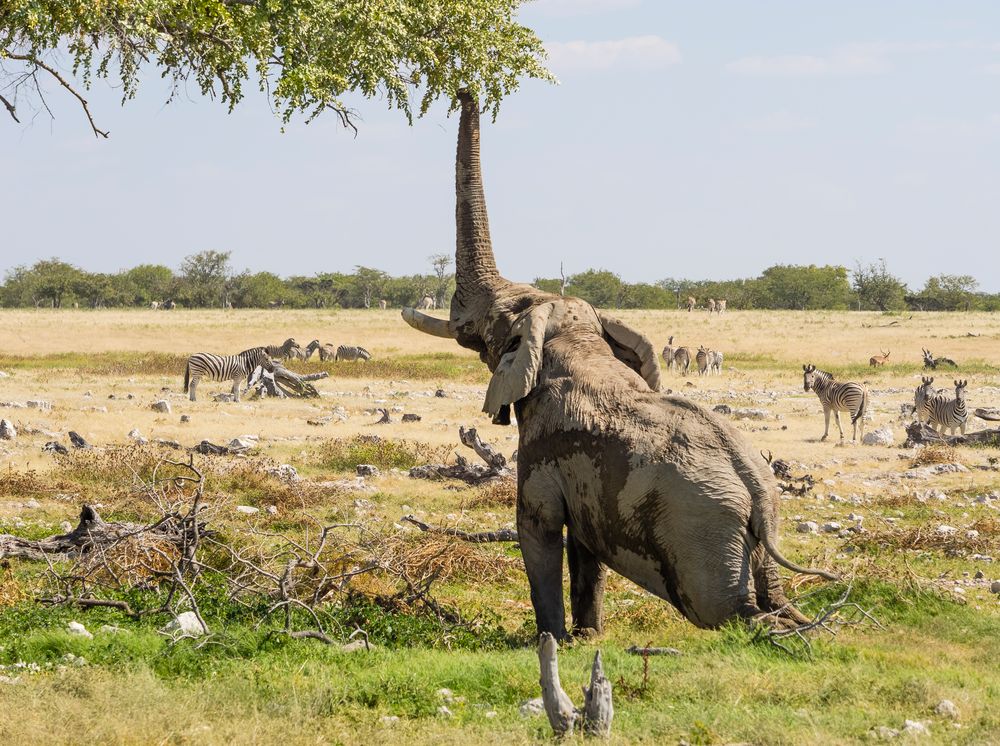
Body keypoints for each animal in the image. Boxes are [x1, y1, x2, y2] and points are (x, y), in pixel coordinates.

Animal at [400, 90, 836, 636]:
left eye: (493, 319)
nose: (465, 90)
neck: (574, 339)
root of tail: (757, 489)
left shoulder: (543, 451)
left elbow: (538, 530)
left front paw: (553, 637)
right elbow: (586, 551)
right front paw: (588, 635)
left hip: (701, 532)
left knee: (724, 611)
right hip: (751, 524)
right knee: (772, 600)